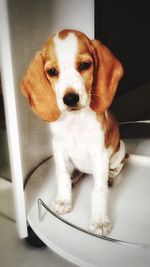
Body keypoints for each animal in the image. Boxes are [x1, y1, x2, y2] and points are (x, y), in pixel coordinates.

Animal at [21, 29, 126, 237]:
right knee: (76, 173)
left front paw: (99, 220)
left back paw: (110, 176)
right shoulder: (58, 148)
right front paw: (64, 199)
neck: (75, 121)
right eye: (52, 71)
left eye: (85, 65)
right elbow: (61, 176)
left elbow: (99, 190)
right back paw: (74, 178)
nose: (70, 99)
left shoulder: (99, 154)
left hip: (120, 150)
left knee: (118, 167)